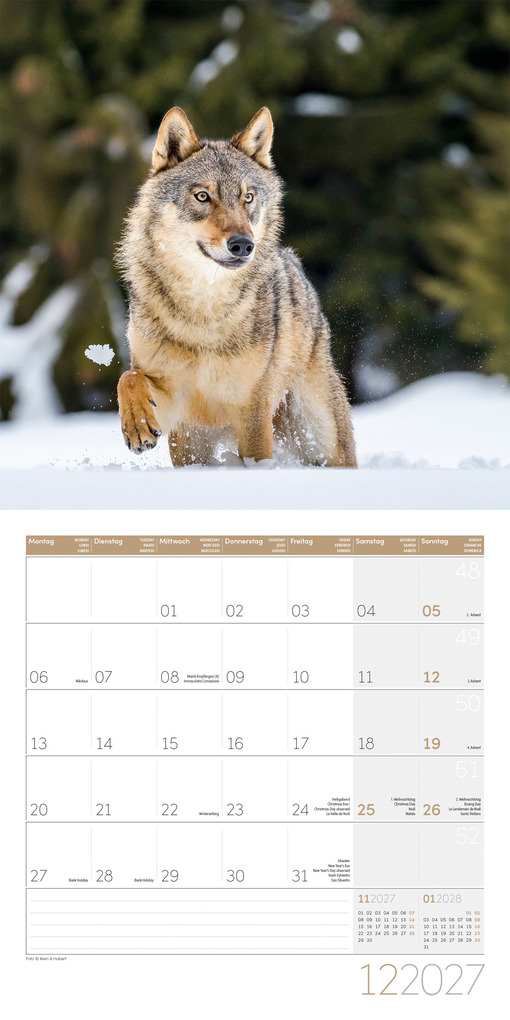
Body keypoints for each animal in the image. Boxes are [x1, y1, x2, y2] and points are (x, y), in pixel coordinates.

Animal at [116, 107, 357, 467]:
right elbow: (128, 378)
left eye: (248, 198)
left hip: (322, 439)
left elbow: (257, 459)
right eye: (203, 196)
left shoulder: (252, 409)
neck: (203, 312)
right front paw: (137, 425)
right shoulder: (173, 401)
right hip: (193, 443)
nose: (243, 244)